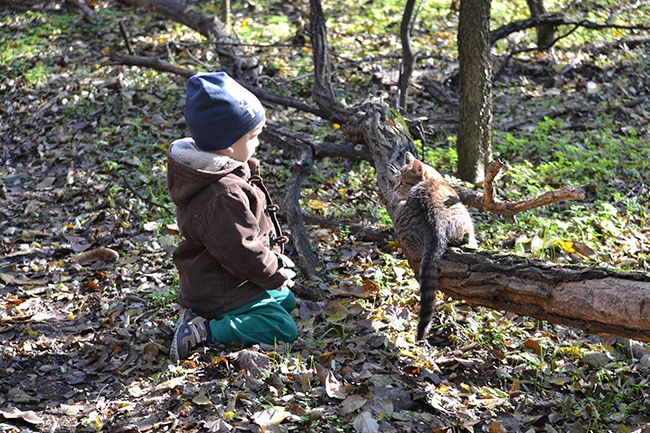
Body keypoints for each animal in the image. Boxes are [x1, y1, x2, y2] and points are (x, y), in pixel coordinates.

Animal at [390, 152, 476, 340]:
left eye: (402, 182)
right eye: (397, 180)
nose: (393, 190)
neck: (433, 181)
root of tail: (433, 221)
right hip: (466, 221)